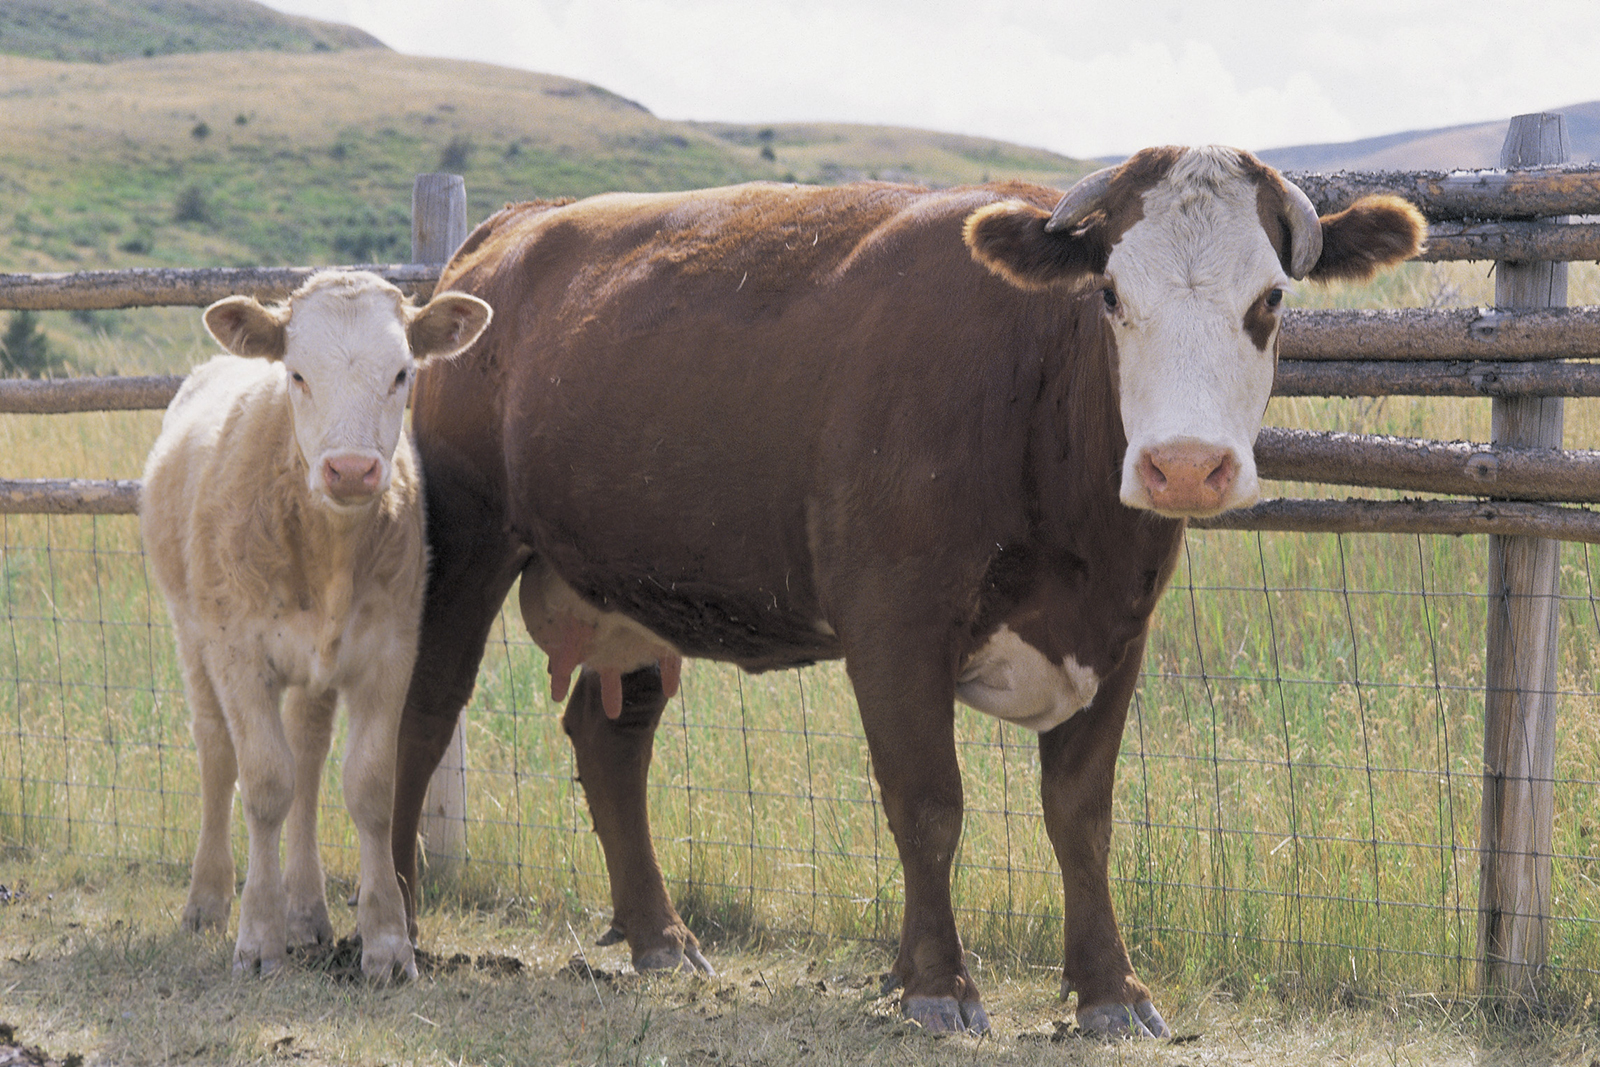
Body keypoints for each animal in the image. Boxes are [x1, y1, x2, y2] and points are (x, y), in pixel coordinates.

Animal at [140, 270, 490, 981]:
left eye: (403, 372)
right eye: (297, 374)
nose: (351, 470)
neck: (326, 546)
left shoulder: (389, 654)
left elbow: (369, 787)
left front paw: (386, 943)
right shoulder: (238, 655)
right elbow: (264, 784)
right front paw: (257, 937)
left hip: (315, 669)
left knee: (306, 750)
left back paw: (305, 911)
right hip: (192, 635)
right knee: (218, 753)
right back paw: (208, 900)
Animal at [390, 147, 1425, 1034]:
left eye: (1271, 298)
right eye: (1110, 293)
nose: (1184, 466)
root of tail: (512, 227)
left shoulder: (1119, 632)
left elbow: (1082, 815)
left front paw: (1111, 989)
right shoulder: (895, 623)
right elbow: (928, 802)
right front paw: (937, 982)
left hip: (631, 579)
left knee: (612, 741)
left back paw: (662, 936)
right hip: (466, 539)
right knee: (423, 712)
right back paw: (394, 921)